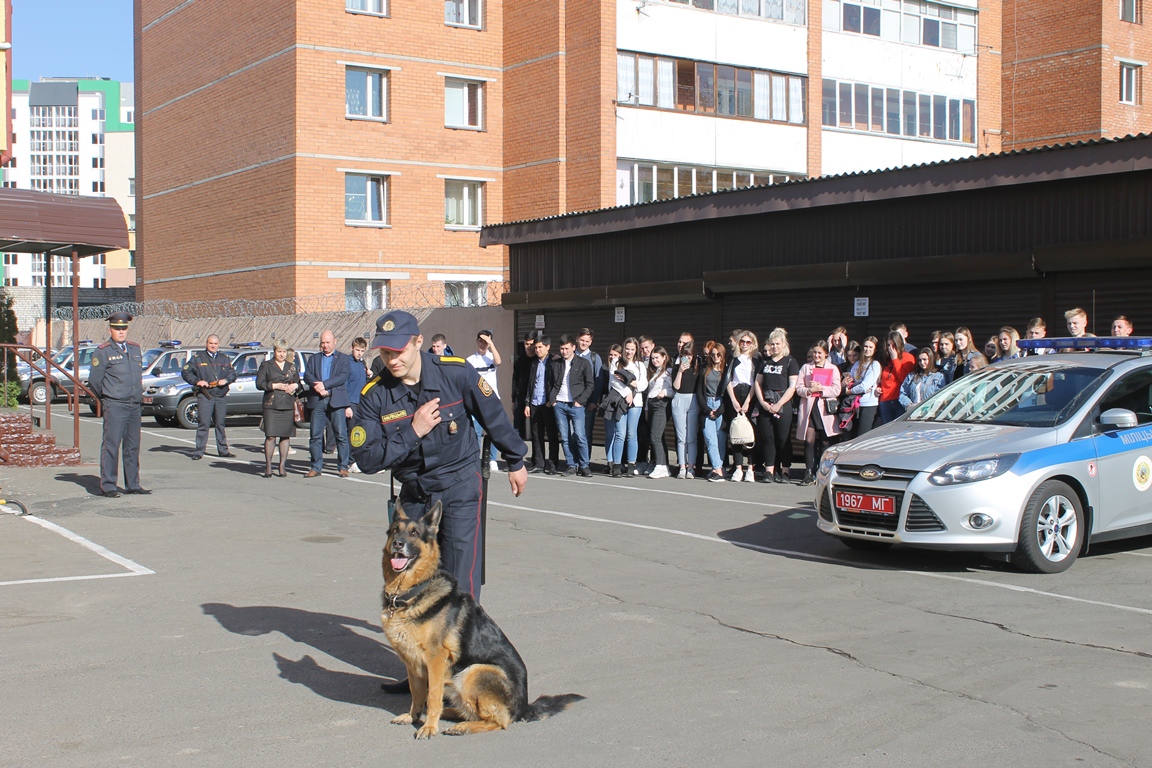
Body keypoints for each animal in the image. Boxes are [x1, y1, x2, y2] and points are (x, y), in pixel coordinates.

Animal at [382, 502, 585, 741]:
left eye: (414, 533)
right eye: (395, 530)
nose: (398, 543)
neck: (413, 591)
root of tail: (524, 707)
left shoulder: (435, 659)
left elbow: (432, 696)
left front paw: (429, 727)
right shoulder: (411, 662)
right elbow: (417, 692)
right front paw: (413, 716)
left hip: (473, 671)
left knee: (499, 721)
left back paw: (462, 726)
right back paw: (451, 713)